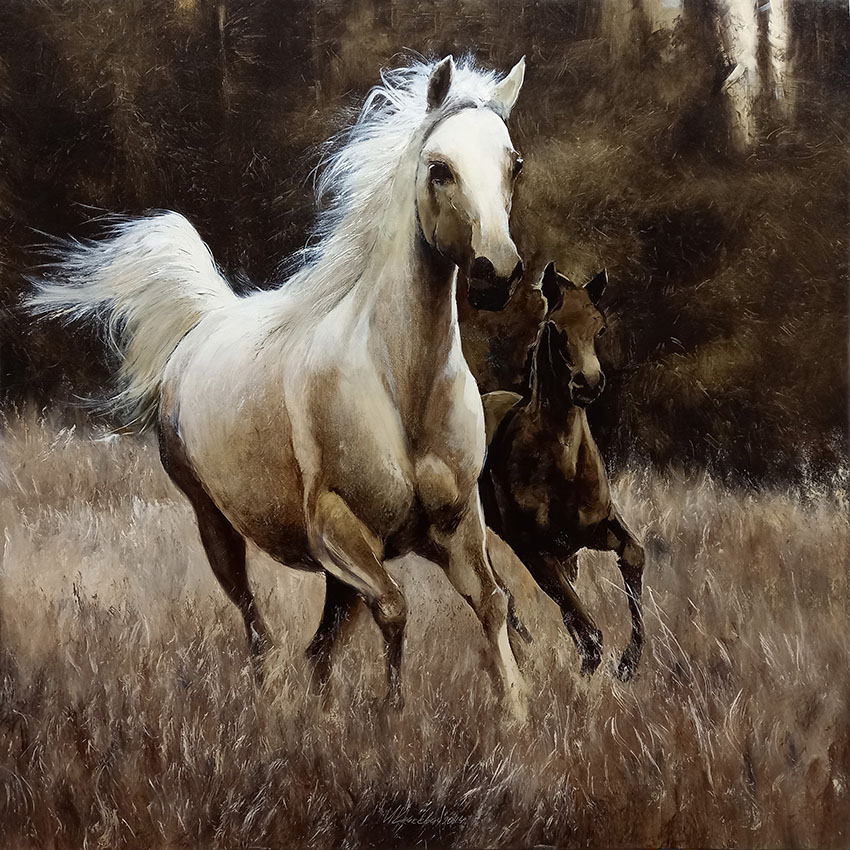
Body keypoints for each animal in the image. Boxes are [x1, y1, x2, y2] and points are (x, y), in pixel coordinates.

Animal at [29, 56, 530, 718]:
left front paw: (519, 717)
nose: (496, 273)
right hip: (215, 526)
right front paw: (392, 717)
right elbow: (395, 609)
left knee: (316, 649)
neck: (402, 386)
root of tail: (207, 320)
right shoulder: (336, 531)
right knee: (259, 630)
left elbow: (493, 603)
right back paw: (270, 705)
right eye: (439, 169)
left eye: (513, 164)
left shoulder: (456, 525)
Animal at [480, 262, 645, 681]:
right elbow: (588, 630)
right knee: (501, 592)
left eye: (599, 327)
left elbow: (634, 556)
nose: (588, 384)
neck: (564, 466)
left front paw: (629, 663)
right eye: (556, 328)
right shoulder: (534, 550)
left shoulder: (596, 530)